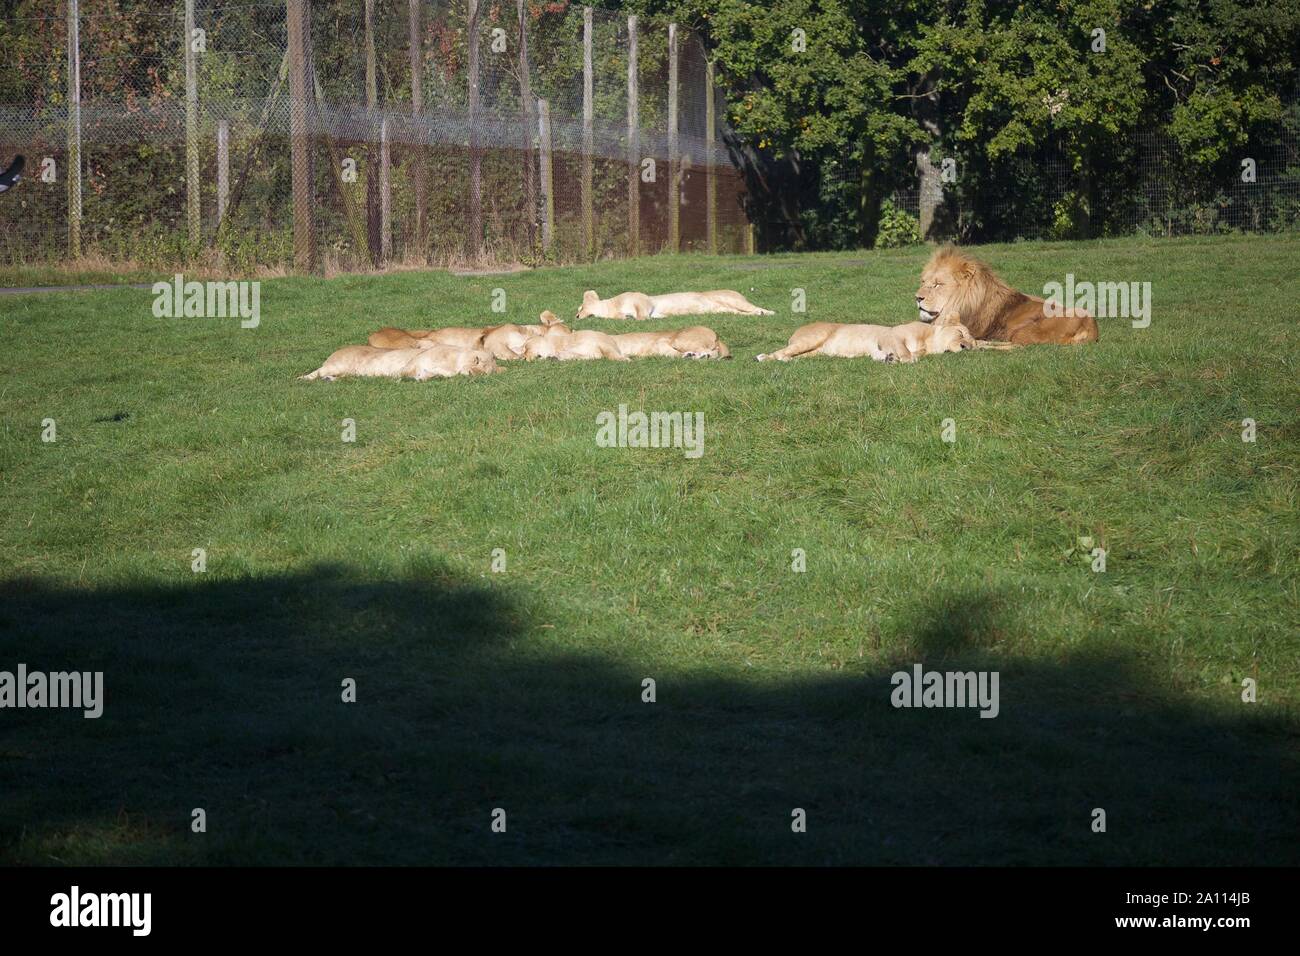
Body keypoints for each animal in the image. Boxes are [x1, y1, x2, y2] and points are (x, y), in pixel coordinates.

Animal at [915, 247, 1097, 348]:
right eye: (923, 281)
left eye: (937, 284)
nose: (917, 298)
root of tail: (1091, 327)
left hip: (1024, 331)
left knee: (1017, 346)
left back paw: (982, 344)